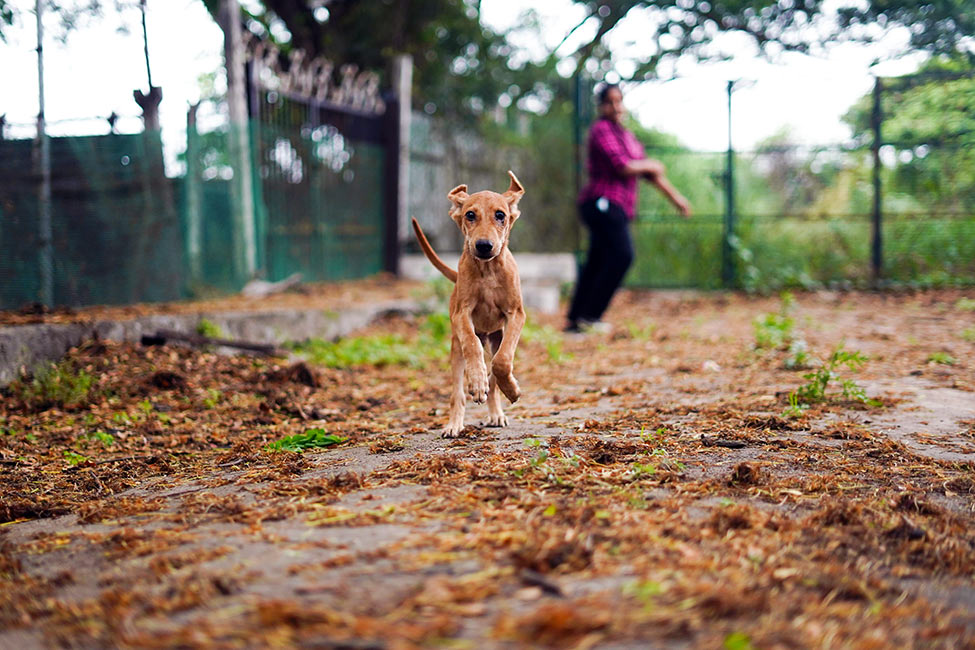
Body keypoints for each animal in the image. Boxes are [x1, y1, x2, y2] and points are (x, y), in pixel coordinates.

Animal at [412, 171, 526, 437]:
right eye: (470, 215)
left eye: (500, 215)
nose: (483, 246)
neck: (487, 271)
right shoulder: (461, 314)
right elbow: (472, 344)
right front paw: (476, 381)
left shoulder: (516, 314)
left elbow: (503, 362)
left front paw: (512, 390)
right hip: (456, 349)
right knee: (458, 393)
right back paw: (455, 423)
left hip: (496, 338)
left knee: (494, 376)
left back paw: (496, 412)